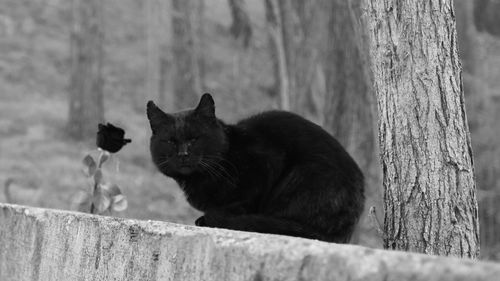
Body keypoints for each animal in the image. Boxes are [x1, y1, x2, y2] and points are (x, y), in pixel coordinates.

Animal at [147, 93, 364, 242]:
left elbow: (243, 200)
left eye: (194, 139)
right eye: (170, 141)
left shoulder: (267, 163)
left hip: (303, 173)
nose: (183, 154)